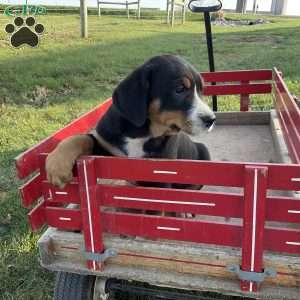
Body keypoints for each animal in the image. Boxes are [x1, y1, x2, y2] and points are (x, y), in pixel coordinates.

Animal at [45, 54, 216, 188]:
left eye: (201, 91)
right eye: (179, 89)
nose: (212, 119)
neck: (142, 132)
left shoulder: (160, 176)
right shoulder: (108, 150)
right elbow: (81, 138)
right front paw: (57, 165)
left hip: (204, 153)